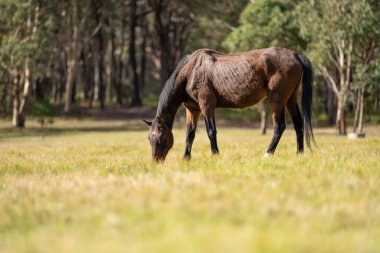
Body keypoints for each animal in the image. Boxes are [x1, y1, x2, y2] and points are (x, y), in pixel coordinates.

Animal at [143, 47, 314, 162]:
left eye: (161, 137)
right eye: (149, 138)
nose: (156, 161)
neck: (191, 71)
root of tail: (295, 55)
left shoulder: (207, 105)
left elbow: (211, 131)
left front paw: (215, 155)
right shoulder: (192, 110)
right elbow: (189, 134)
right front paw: (186, 158)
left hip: (277, 100)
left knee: (280, 126)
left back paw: (267, 154)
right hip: (290, 99)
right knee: (298, 124)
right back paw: (299, 154)